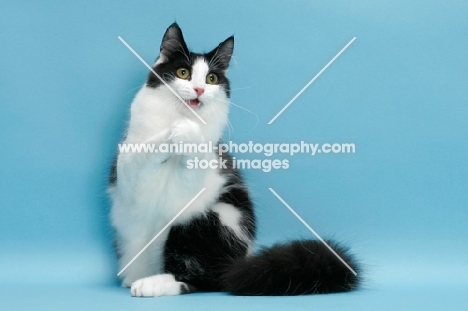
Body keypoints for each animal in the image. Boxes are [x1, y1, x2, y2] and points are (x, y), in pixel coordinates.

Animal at [108, 22, 360, 298]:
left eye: (212, 79)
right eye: (183, 73)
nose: (199, 90)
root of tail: (242, 262)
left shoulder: (186, 193)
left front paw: (188, 132)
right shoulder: (130, 173)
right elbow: (147, 151)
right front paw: (175, 132)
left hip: (211, 217)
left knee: (206, 277)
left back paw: (151, 284)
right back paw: (136, 279)